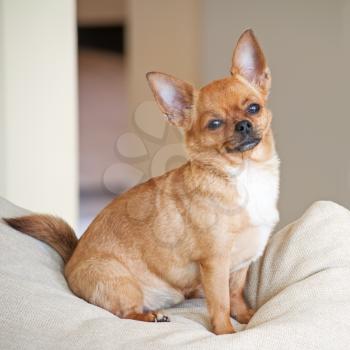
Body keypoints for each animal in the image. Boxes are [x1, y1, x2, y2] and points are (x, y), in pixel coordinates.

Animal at [4, 30, 278, 336]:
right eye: (215, 124)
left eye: (254, 108)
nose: (243, 124)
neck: (245, 174)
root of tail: (70, 260)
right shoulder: (215, 262)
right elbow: (220, 303)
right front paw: (226, 333)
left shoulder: (241, 262)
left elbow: (235, 294)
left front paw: (247, 317)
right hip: (121, 282)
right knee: (125, 314)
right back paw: (152, 317)